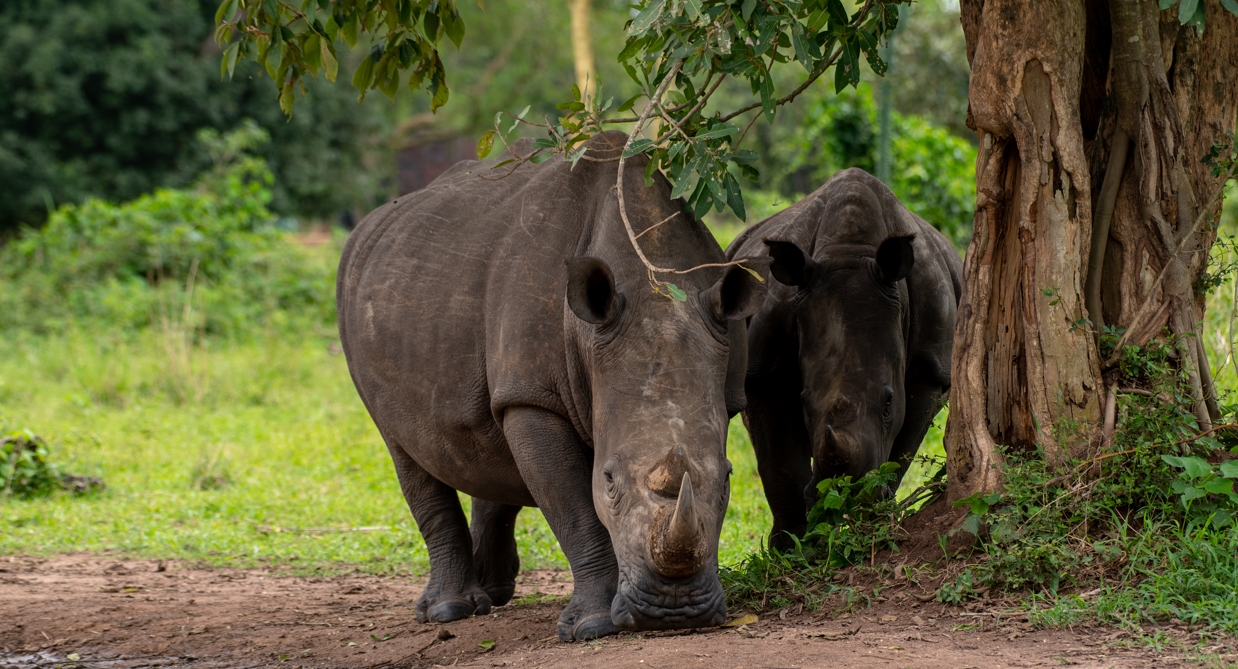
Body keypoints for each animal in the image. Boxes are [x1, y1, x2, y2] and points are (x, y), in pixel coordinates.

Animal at [337, 132, 768, 640]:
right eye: (609, 482)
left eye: (728, 480)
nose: (674, 612)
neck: (655, 283)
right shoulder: (533, 397)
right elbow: (575, 508)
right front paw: (593, 627)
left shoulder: (728, 388)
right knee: (404, 448)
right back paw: (448, 611)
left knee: (484, 438)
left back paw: (493, 592)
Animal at [726, 168, 962, 551]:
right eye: (804, 402)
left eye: (888, 404)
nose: (845, 491)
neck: (849, 250)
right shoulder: (765, 370)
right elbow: (780, 464)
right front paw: (793, 546)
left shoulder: (931, 368)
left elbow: (903, 450)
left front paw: (874, 519)